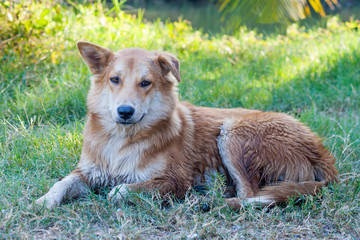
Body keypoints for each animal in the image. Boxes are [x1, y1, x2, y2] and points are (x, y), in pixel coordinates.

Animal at [35, 42, 338, 209]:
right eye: (115, 80)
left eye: (145, 83)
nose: (124, 112)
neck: (123, 139)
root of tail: (320, 150)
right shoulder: (87, 172)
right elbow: (61, 183)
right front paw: (44, 201)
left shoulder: (175, 179)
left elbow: (119, 191)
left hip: (234, 133)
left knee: (250, 195)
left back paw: (209, 202)